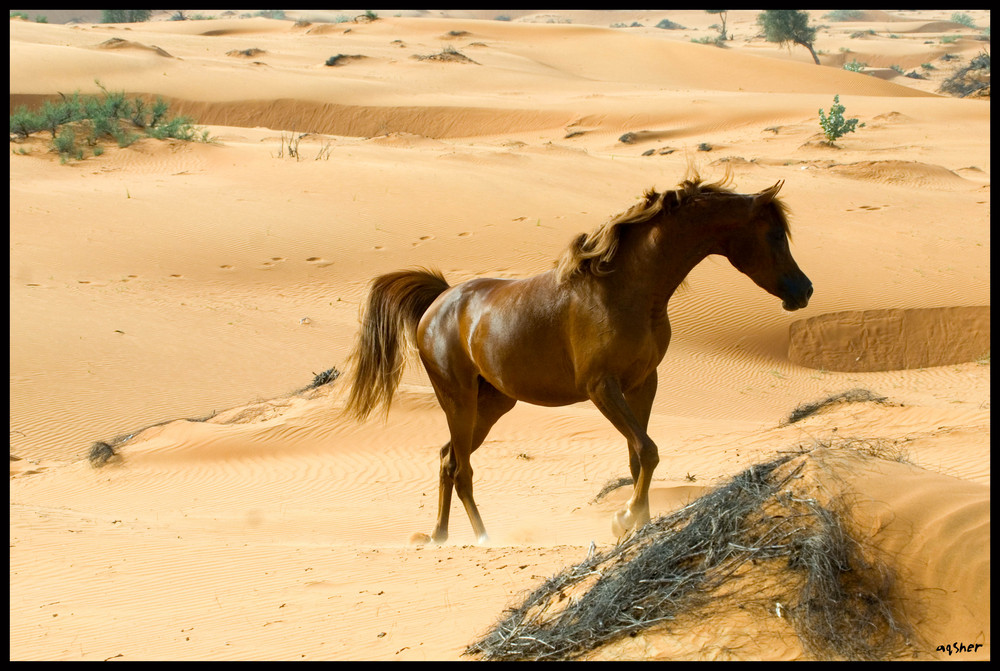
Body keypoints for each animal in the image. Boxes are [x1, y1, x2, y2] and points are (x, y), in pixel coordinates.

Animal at [344, 175, 812, 544]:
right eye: (775, 235)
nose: (804, 290)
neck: (626, 288)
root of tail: (438, 303)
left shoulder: (643, 384)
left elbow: (637, 455)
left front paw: (638, 521)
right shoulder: (602, 387)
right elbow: (648, 449)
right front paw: (626, 517)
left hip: (491, 404)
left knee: (448, 460)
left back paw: (440, 536)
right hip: (459, 401)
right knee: (462, 470)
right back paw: (481, 539)